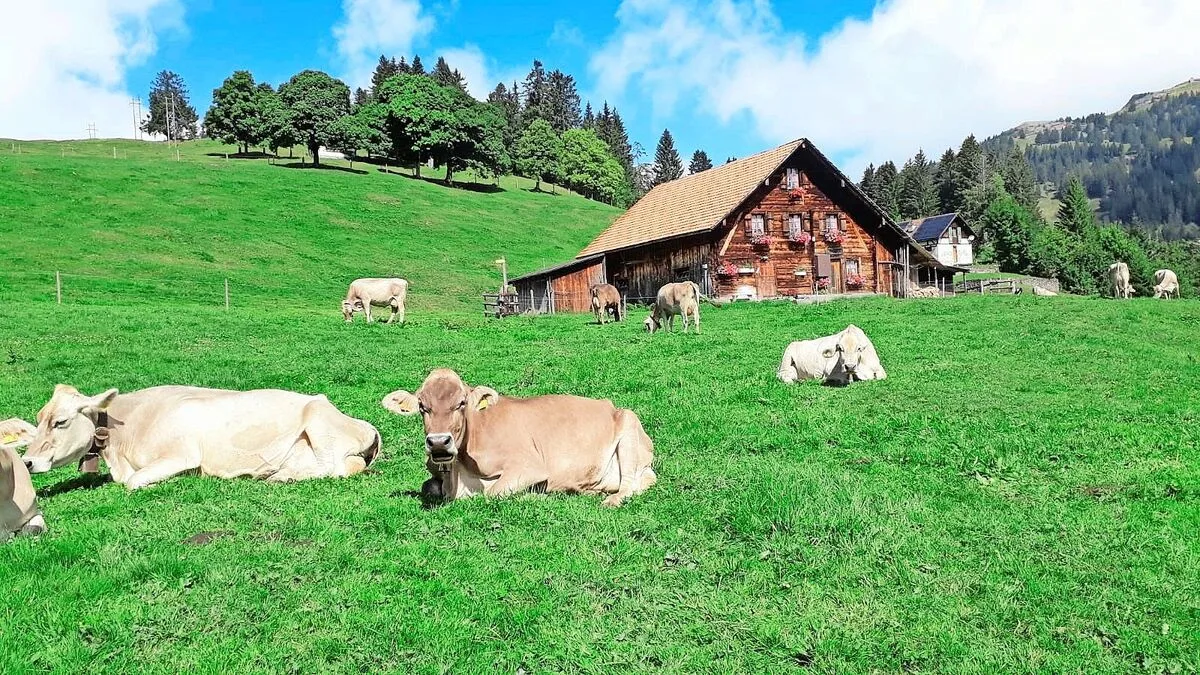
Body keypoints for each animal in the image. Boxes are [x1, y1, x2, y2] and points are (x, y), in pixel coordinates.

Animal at [21, 385, 381, 491]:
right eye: (38, 419)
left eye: (61, 422)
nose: (27, 461)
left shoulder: (181, 455)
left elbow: (134, 482)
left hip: (318, 422)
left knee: (337, 467)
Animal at [381, 369, 656, 507]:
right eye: (422, 406)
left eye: (461, 403)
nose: (438, 442)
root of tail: (611, 406)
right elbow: (428, 487)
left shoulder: (529, 465)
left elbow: (493, 493)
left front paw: (534, 494)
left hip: (628, 426)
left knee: (630, 484)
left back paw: (610, 500)